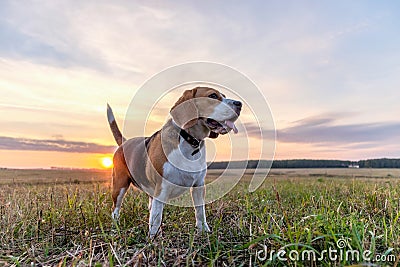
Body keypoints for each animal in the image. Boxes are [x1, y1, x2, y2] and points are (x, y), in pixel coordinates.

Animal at [106, 87, 241, 238]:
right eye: (212, 96)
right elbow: (157, 217)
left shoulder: (198, 186)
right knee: (115, 209)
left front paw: (204, 231)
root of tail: (124, 142)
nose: (239, 104)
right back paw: (115, 228)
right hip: (120, 185)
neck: (189, 141)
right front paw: (153, 240)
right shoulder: (162, 188)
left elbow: (200, 212)